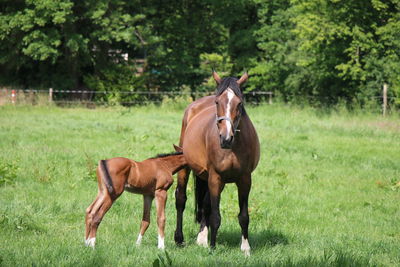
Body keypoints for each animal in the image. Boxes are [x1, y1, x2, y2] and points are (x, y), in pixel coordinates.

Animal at [174, 71, 260, 258]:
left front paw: (246, 248)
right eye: (217, 102)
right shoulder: (216, 178)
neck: (233, 148)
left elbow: (244, 216)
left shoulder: (245, 180)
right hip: (186, 168)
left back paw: (202, 239)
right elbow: (215, 216)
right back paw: (179, 239)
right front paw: (213, 247)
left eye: (239, 103)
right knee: (180, 200)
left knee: (205, 204)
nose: (226, 138)